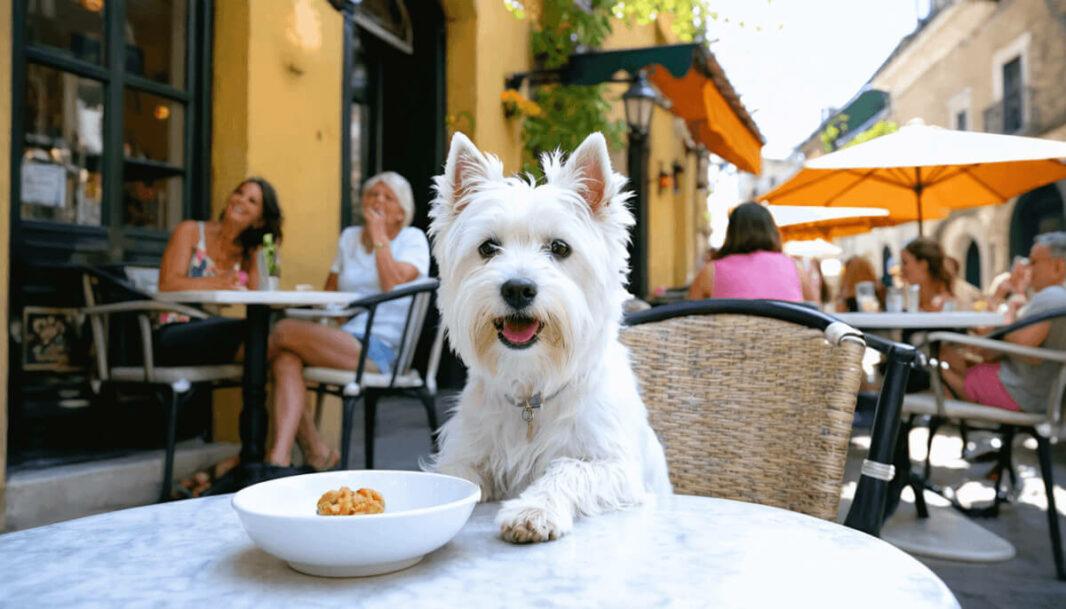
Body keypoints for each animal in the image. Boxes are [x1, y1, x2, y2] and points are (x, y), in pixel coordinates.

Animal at [428, 132, 669, 543]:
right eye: (488, 247)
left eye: (559, 247)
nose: (518, 289)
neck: (532, 394)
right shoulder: (464, 453)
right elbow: (454, 478)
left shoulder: (614, 465)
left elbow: (567, 469)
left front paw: (533, 510)